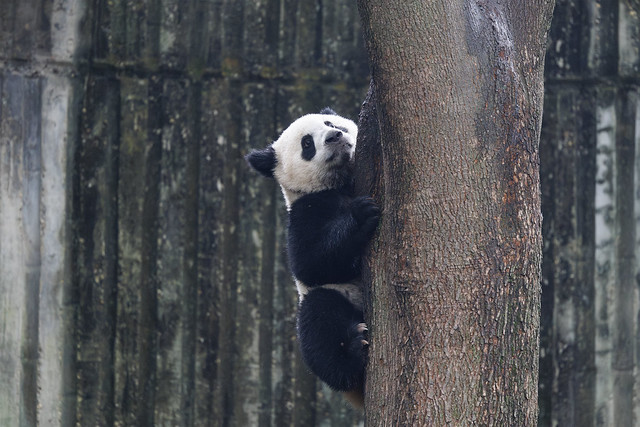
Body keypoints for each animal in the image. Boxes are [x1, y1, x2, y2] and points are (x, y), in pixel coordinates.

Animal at [245, 107, 380, 406]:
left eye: (329, 122)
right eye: (307, 144)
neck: (341, 183)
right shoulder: (306, 209)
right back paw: (354, 352)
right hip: (337, 298)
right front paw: (360, 216)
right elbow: (310, 263)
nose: (334, 136)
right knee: (319, 321)